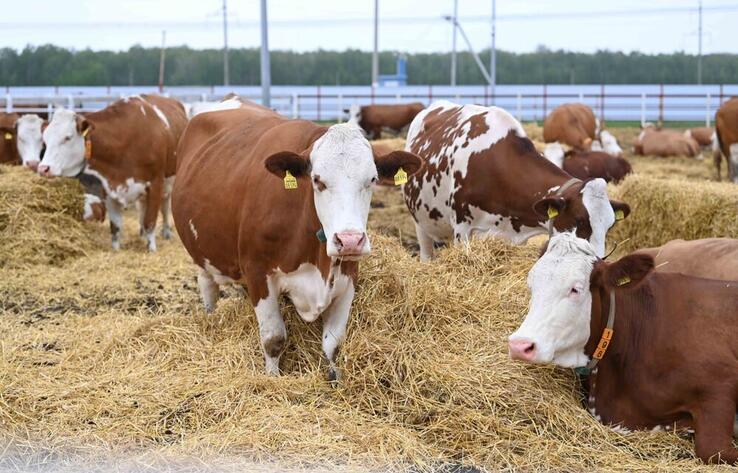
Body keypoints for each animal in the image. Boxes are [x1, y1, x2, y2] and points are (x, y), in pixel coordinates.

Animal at [37, 94, 188, 253]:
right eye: (45, 140)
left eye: (68, 137)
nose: (43, 168)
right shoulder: (108, 186)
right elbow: (115, 227)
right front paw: (116, 249)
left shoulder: (155, 183)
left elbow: (150, 220)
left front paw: (151, 249)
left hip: (169, 181)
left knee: (165, 205)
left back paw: (166, 232)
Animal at [169, 100, 416, 380]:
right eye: (317, 180)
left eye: (372, 179)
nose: (350, 240)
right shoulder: (258, 271)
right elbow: (273, 339)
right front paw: (272, 378)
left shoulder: (349, 276)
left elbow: (334, 343)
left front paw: (336, 379)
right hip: (201, 255)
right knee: (208, 286)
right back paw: (210, 316)